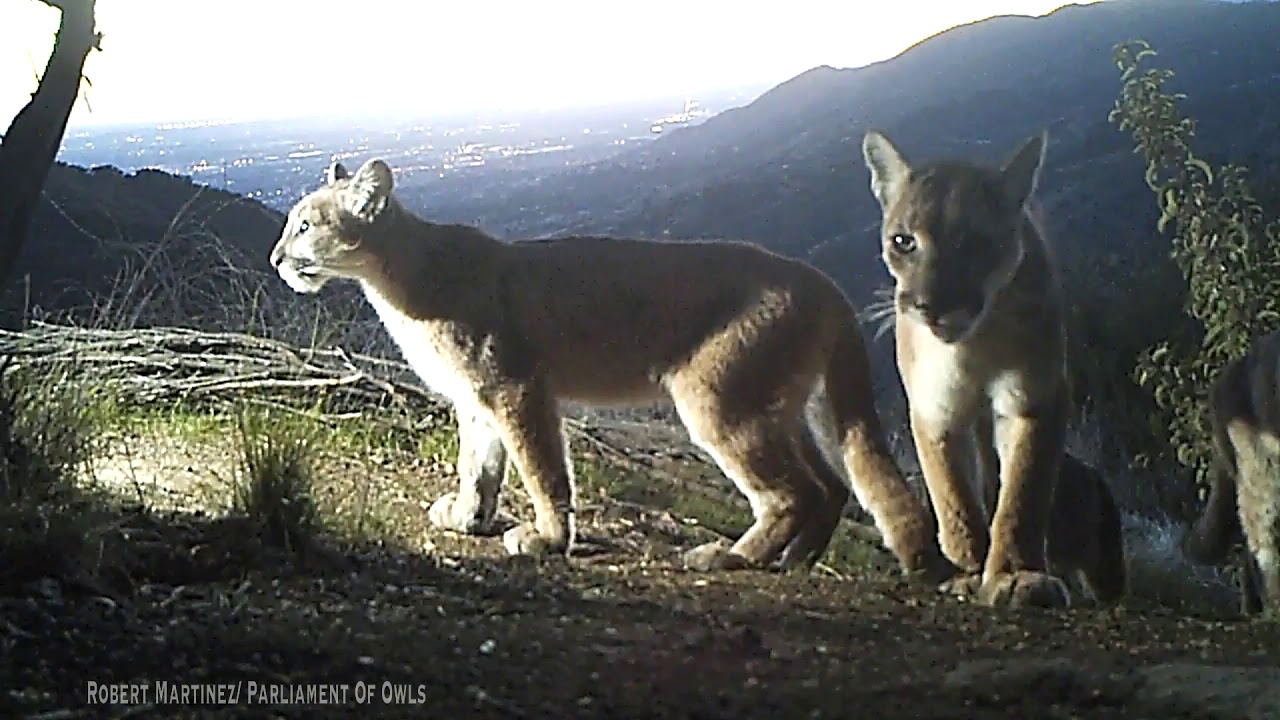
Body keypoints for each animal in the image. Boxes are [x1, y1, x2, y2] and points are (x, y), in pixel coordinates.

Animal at [268, 157, 956, 580]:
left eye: (306, 224)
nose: (275, 257)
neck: (397, 276)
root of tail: (821, 283)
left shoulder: (516, 387)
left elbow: (542, 469)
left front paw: (545, 538)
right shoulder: (476, 397)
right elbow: (479, 465)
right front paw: (469, 518)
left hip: (715, 397)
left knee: (795, 490)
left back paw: (729, 557)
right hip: (779, 403)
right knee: (831, 484)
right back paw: (794, 560)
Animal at [861, 129, 1100, 608]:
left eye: (974, 243)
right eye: (903, 241)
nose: (929, 306)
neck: (974, 347)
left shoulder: (1033, 398)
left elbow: (1024, 489)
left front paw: (1015, 574)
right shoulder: (935, 409)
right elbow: (952, 494)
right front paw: (968, 569)